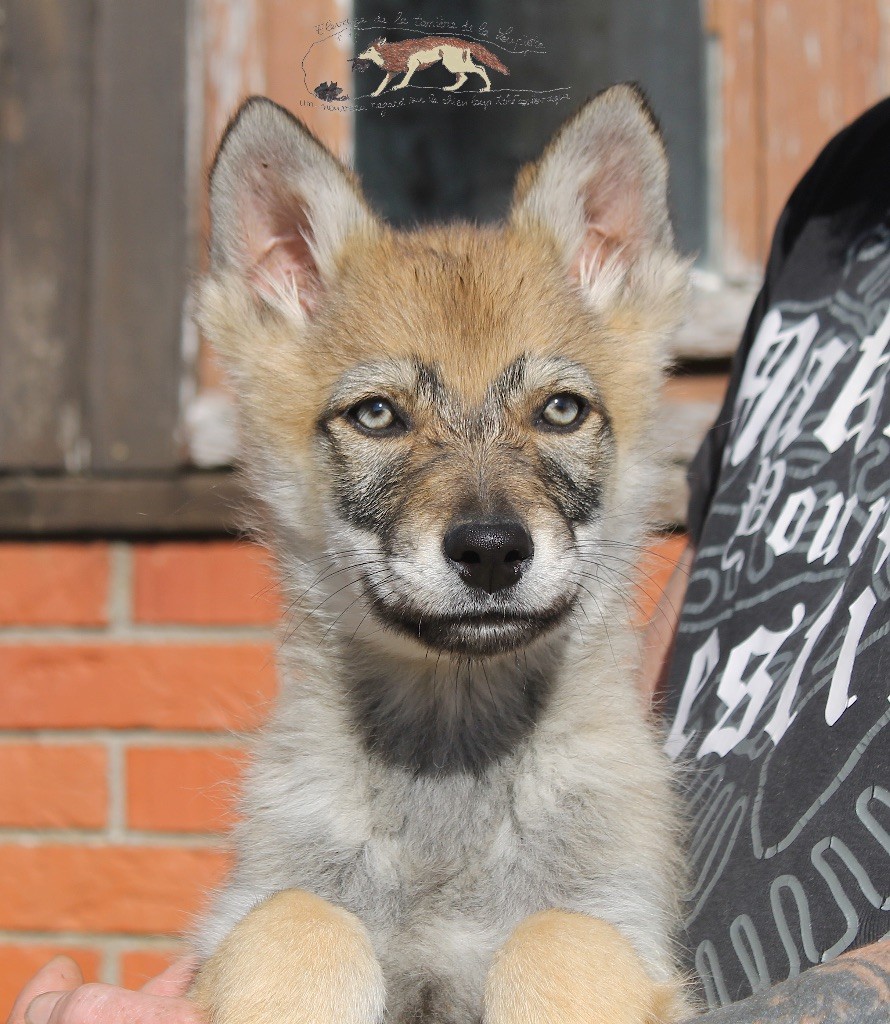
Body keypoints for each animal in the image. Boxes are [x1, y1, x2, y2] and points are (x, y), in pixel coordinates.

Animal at [189, 88, 688, 1024]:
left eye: (561, 410)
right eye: (378, 416)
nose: (491, 552)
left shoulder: (623, 926)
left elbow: (557, 937)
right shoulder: (246, 916)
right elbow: (296, 919)